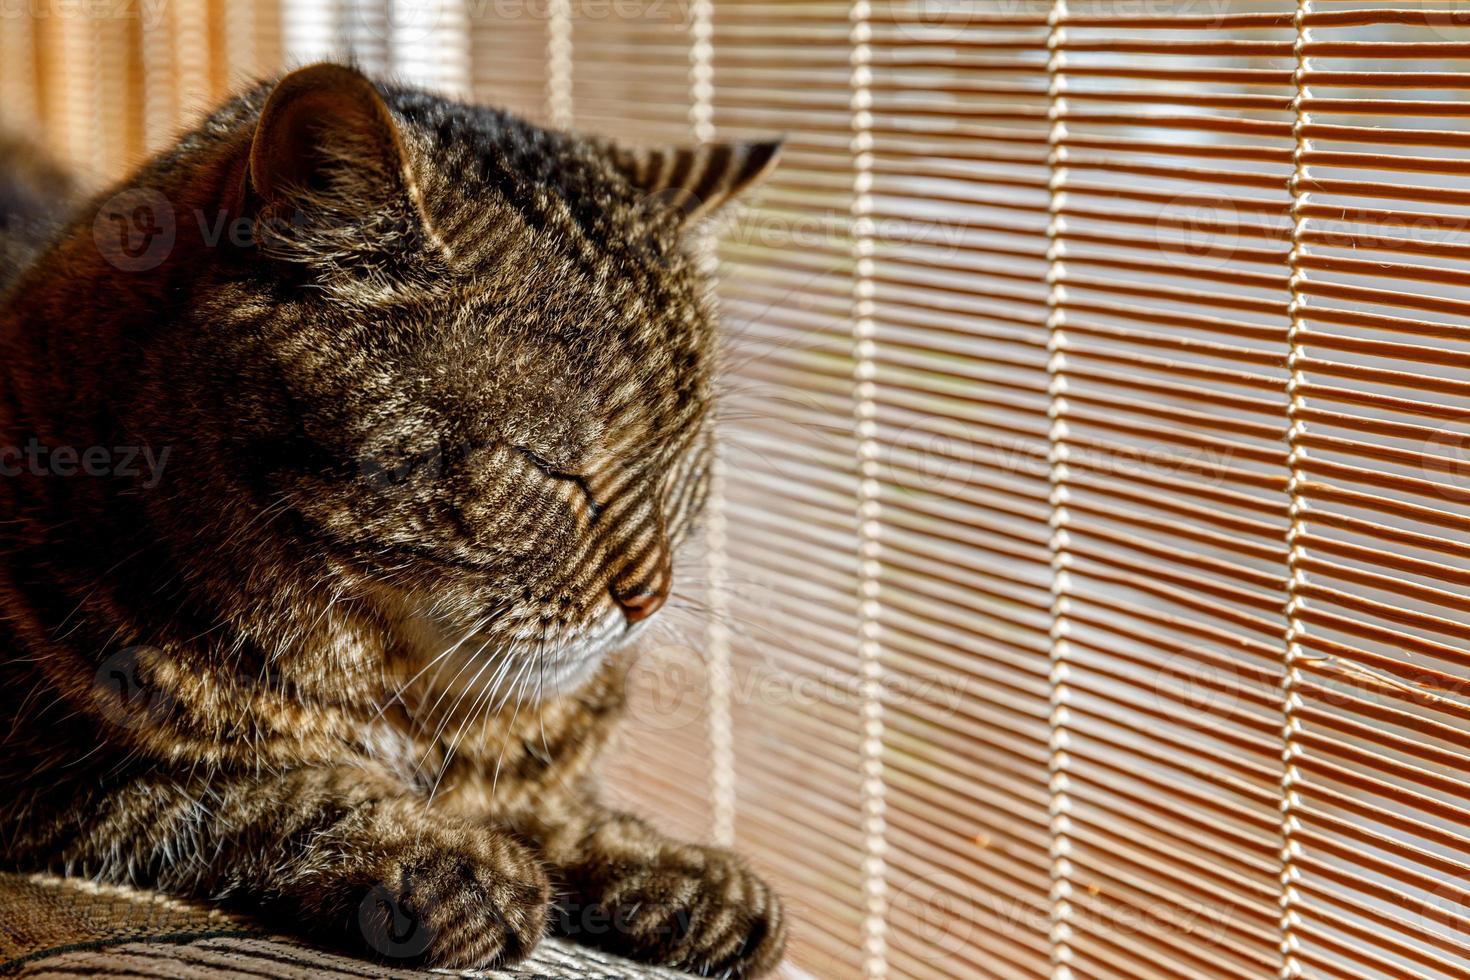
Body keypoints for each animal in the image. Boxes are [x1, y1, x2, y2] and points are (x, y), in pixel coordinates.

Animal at [0, 65, 787, 975]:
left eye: (678, 461)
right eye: (546, 465)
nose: (649, 598)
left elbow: (556, 806)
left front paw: (665, 860)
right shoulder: (51, 778)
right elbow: (261, 790)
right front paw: (433, 853)